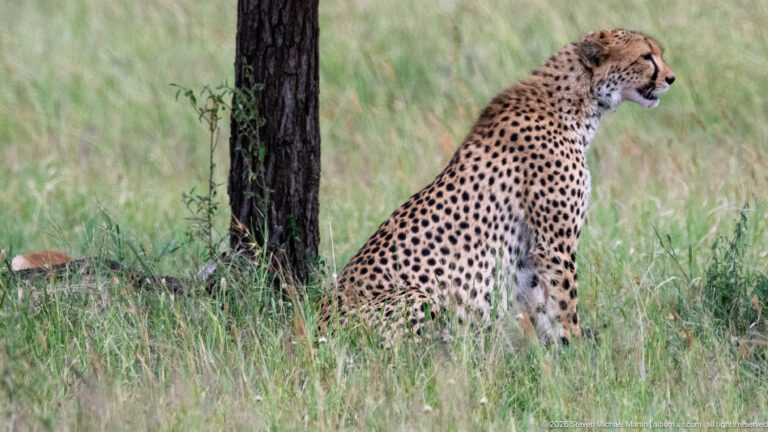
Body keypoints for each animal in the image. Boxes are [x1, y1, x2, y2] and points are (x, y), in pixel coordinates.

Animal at [320, 29, 675, 344]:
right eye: (646, 56)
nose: (671, 78)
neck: (578, 104)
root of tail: (319, 326)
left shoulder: (529, 249)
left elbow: (538, 302)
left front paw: (549, 352)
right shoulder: (555, 243)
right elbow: (564, 299)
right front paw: (575, 348)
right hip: (417, 295)